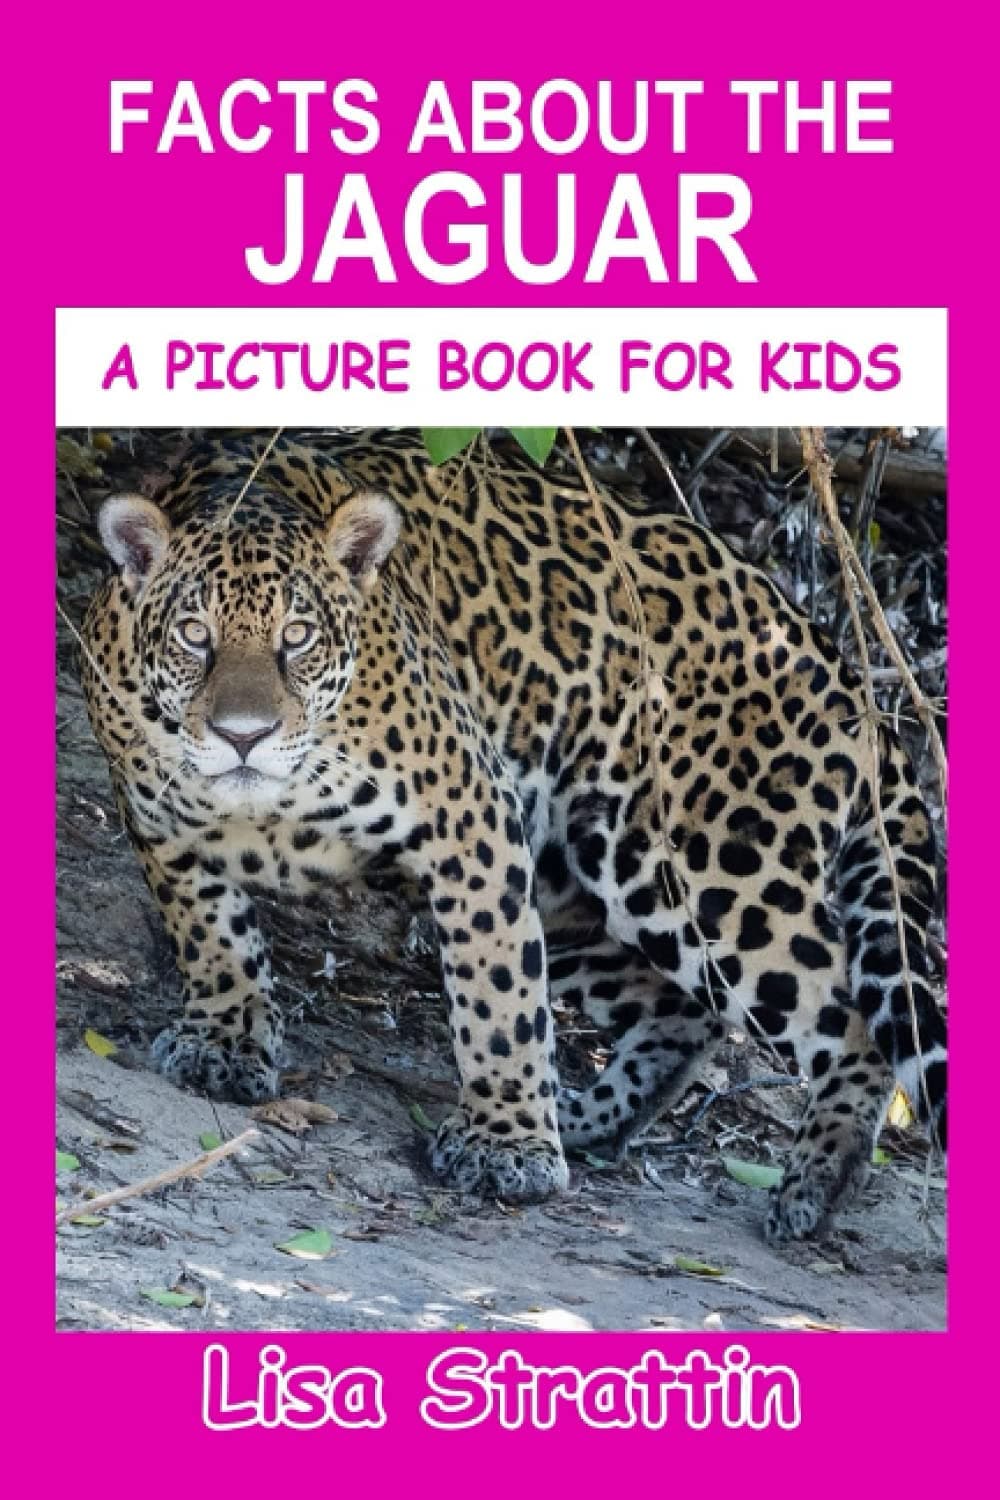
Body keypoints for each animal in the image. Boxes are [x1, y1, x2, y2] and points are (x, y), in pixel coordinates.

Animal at [79, 428, 947, 1241]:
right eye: (194, 633)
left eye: (297, 636)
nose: (243, 735)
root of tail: (838, 659)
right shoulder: (158, 824)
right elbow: (211, 933)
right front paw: (225, 1041)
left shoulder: (470, 817)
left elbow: (497, 996)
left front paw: (508, 1146)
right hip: (580, 891)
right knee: (684, 1012)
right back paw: (591, 1117)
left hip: (709, 867)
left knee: (849, 1020)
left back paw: (814, 1184)